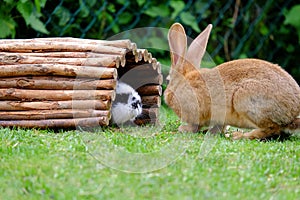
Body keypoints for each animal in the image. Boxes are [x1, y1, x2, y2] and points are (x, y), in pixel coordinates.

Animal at [164, 22, 300, 140]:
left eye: (168, 79)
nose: (165, 94)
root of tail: (292, 113)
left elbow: (195, 125)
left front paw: (183, 129)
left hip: (244, 99)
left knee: (272, 129)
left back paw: (239, 136)